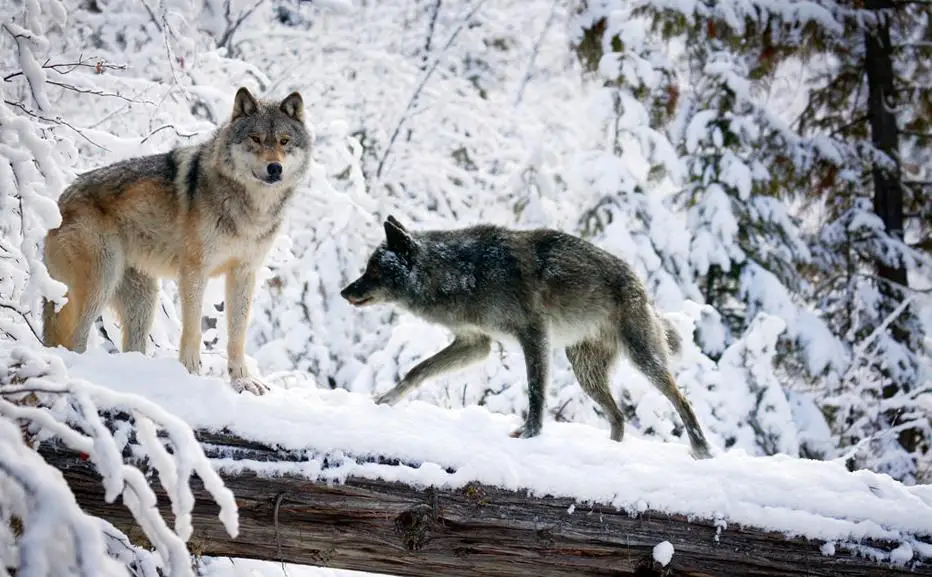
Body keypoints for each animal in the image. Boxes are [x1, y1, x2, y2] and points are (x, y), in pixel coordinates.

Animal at [41, 86, 314, 392]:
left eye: (284, 141)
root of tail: (58, 202)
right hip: (102, 281)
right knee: (76, 339)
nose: (275, 168)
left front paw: (242, 380)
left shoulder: (244, 273)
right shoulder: (194, 271)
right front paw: (191, 372)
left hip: (143, 299)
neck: (250, 209)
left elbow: (237, 333)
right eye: (255, 139)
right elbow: (193, 329)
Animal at [342, 216, 712, 460]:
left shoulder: (533, 335)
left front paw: (530, 433)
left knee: (683, 400)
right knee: (619, 416)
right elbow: (417, 370)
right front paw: (387, 400)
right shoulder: (476, 344)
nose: (344, 291)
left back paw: (702, 449)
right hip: (586, 375)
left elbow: (535, 391)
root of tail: (639, 282)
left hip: (642, 360)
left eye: (373, 271)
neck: (463, 273)